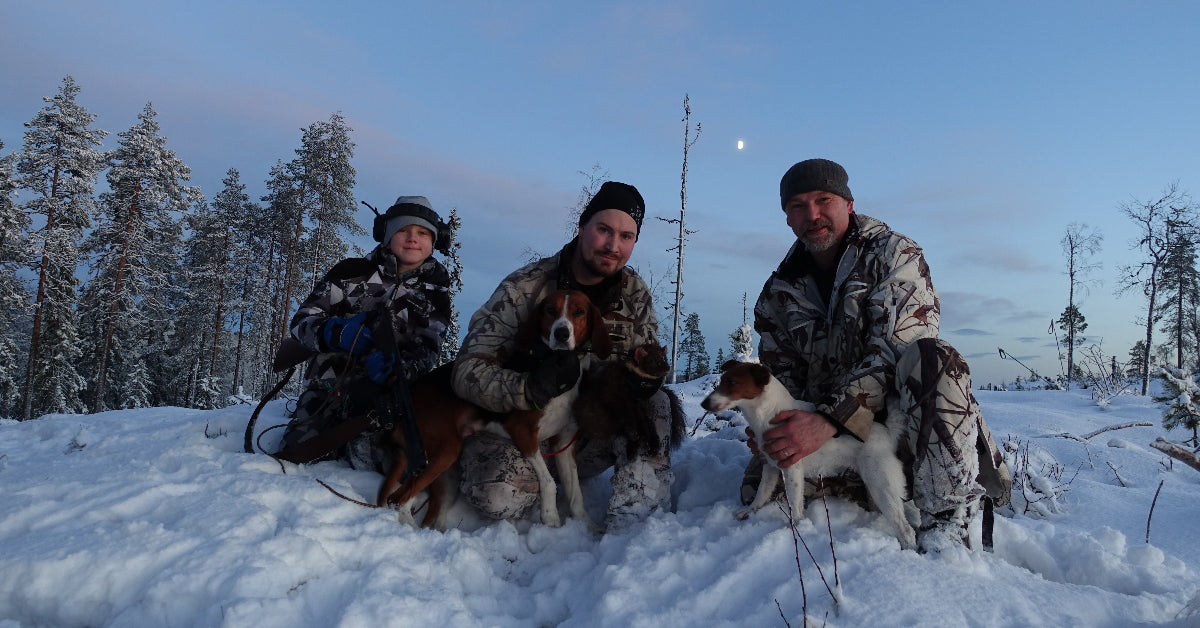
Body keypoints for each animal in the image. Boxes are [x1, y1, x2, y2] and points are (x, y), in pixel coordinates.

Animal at [700, 362, 912, 549]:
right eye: (722, 380)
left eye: (732, 382)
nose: (704, 403)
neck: (769, 416)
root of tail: (887, 433)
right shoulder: (770, 467)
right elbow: (761, 493)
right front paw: (750, 511)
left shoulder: (791, 468)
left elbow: (794, 503)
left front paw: (796, 528)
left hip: (881, 484)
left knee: (906, 529)